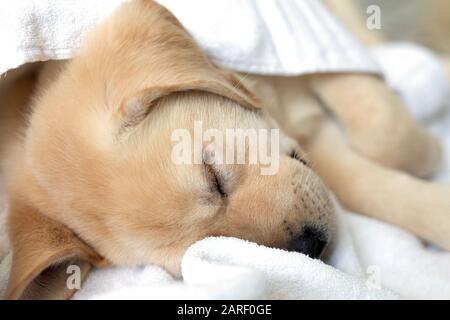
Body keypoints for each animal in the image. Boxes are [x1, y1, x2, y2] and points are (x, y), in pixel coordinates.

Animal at [0, 0, 448, 300]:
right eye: (210, 245)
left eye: (214, 176)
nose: (311, 248)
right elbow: (360, 183)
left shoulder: (301, 28)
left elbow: (387, 134)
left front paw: (426, 146)